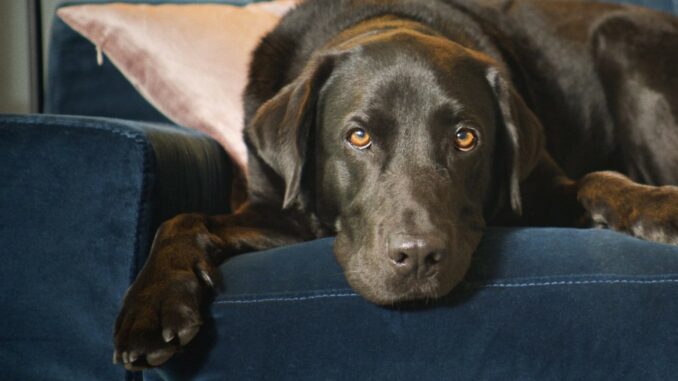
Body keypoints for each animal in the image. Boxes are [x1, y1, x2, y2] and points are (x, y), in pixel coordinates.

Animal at [114, 0, 676, 368]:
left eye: (465, 138)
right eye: (358, 136)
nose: (418, 257)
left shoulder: (537, 182)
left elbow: (598, 179)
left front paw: (655, 207)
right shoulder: (280, 213)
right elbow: (182, 218)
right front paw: (152, 303)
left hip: (623, 41)